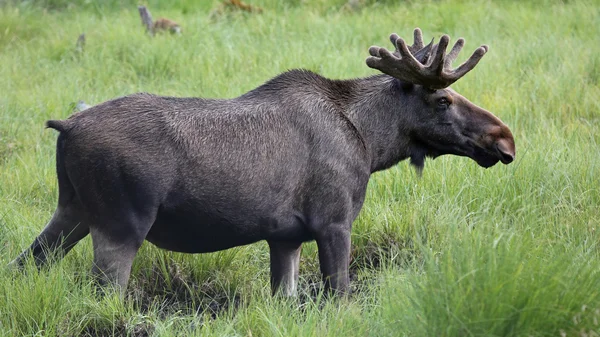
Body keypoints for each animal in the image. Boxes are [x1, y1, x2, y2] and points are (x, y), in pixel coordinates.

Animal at [10, 29, 516, 296]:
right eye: (442, 99)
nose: (505, 138)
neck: (372, 144)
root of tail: (65, 126)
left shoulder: (285, 237)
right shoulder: (334, 221)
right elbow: (339, 295)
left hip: (73, 210)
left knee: (24, 264)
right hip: (121, 223)